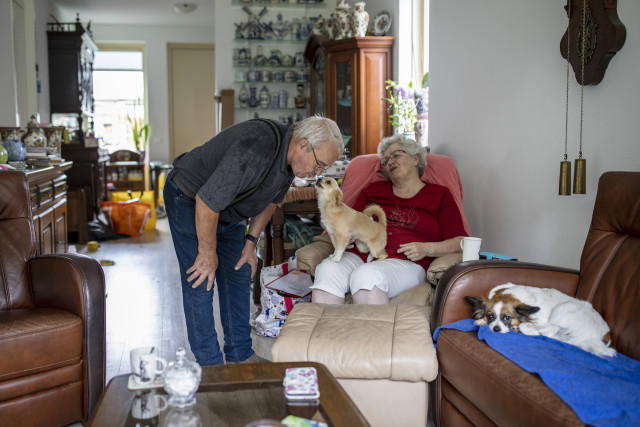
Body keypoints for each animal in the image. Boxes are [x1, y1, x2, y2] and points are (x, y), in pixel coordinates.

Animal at [464, 284, 616, 358]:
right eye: (490, 316)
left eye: (507, 318)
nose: (496, 329)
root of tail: (605, 335)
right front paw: (481, 321)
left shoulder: (542, 320)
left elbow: (530, 326)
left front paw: (521, 327)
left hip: (564, 308)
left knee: (550, 332)